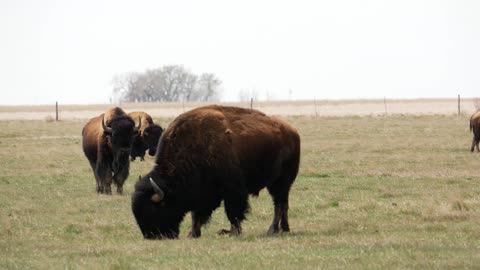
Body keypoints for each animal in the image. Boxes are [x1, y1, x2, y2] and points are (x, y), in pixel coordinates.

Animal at [131, 104, 300, 239]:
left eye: (153, 210)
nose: (150, 236)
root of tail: (293, 132)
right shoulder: (202, 193)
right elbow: (196, 215)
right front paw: (193, 233)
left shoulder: (233, 190)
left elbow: (233, 212)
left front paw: (231, 232)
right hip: (277, 184)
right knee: (282, 204)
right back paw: (283, 229)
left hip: (281, 182)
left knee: (279, 205)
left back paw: (273, 229)